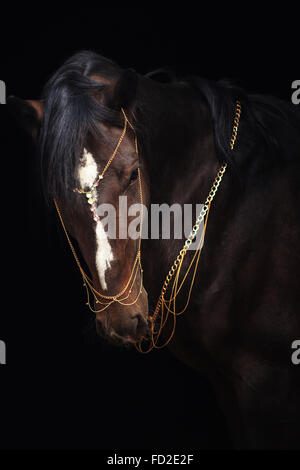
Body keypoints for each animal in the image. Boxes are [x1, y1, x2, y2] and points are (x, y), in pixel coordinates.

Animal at [8, 49, 300, 450]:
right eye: (57, 193)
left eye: (133, 174)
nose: (120, 318)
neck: (236, 203)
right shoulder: (229, 384)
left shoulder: (266, 382)